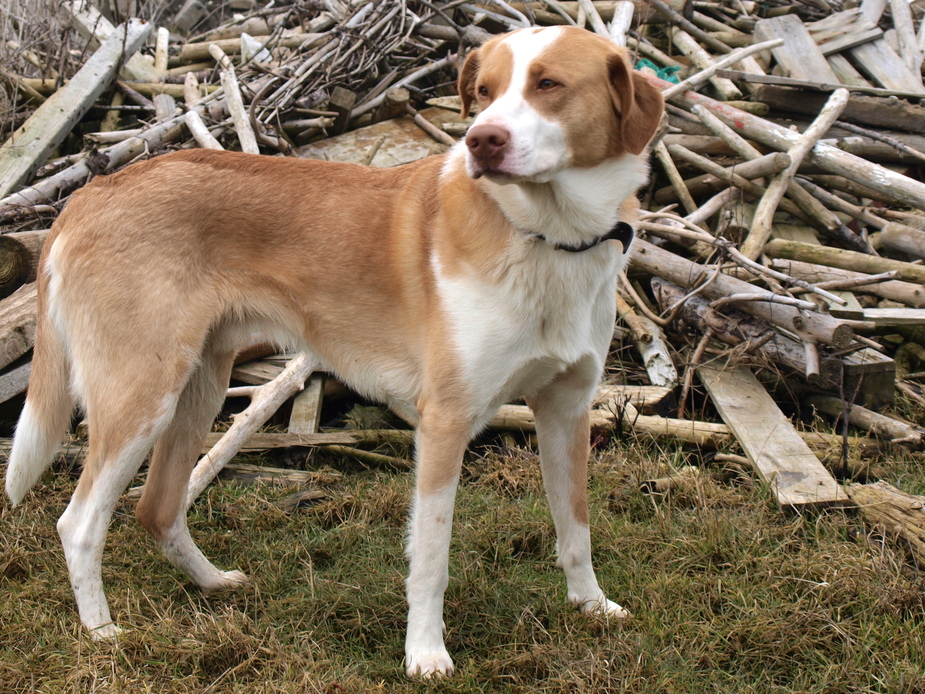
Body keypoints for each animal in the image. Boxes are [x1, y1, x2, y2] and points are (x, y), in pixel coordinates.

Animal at [3, 25, 660, 680]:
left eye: (548, 84)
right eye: (484, 92)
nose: (481, 140)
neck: (549, 237)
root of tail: (91, 192)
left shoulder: (567, 411)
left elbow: (576, 527)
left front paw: (592, 606)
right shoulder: (445, 424)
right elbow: (431, 561)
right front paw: (425, 655)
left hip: (199, 388)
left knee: (157, 507)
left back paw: (213, 583)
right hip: (141, 396)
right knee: (79, 523)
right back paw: (102, 634)